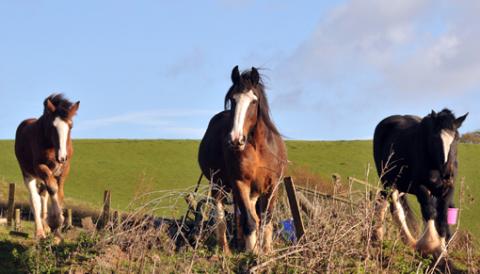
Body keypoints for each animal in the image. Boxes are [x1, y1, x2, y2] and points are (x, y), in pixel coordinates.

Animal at [14, 94, 79, 240]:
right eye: (52, 126)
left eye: (70, 126)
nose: (62, 157)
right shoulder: (40, 167)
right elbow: (52, 190)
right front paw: (55, 221)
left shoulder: (63, 171)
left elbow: (59, 194)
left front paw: (57, 233)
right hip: (28, 174)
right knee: (35, 200)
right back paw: (39, 232)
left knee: (43, 196)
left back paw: (46, 228)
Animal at [198, 66, 286, 255]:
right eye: (233, 100)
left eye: (253, 101)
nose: (236, 139)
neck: (259, 147)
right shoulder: (239, 183)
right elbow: (249, 221)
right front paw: (252, 253)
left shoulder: (273, 185)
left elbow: (266, 220)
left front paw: (266, 251)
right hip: (218, 185)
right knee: (221, 216)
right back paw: (225, 250)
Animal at [374, 108, 466, 256]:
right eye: (435, 139)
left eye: (456, 138)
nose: (447, 173)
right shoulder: (420, 187)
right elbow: (430, 212)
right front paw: (431, 244)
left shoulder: (447, 190)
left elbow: (442, 217)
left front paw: (443, 249)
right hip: (388, 182)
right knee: (394, 206)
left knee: (385, 200)